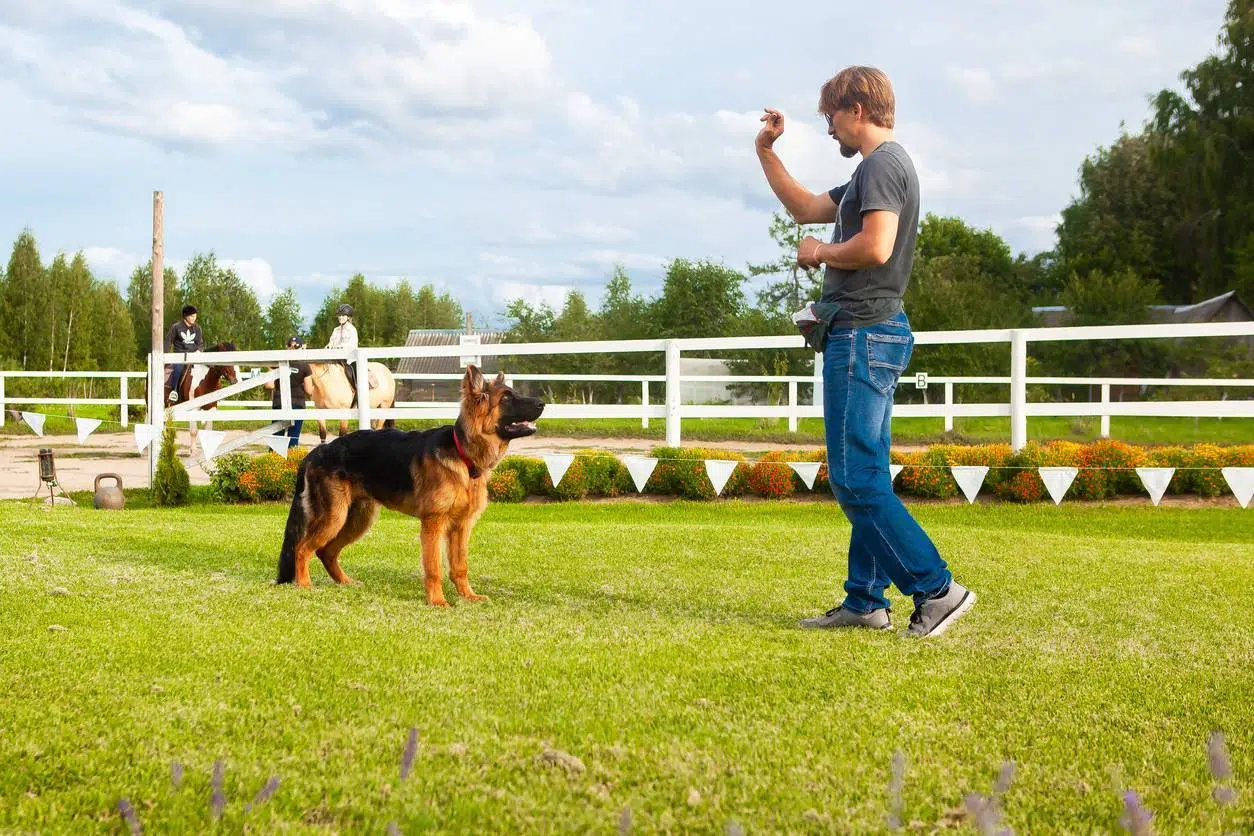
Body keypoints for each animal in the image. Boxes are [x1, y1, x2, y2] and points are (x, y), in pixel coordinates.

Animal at [277, 363, 541, 604]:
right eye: (506, 398)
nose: (542, 403)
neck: (463, 454)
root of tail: (316, 452)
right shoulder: (433, 525)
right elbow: (434, 568)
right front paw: (437, 601)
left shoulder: (461, 526)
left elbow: (460, 567)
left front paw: (468, 596)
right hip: (335, 517)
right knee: (303, 548)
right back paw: (305, 586)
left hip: (357, 519)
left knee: (326, 551)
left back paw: (345, 582)